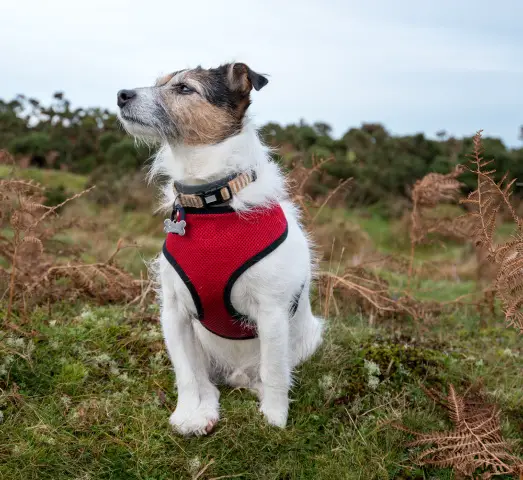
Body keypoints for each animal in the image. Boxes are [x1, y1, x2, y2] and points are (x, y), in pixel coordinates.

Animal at [117, 62, 324, 436]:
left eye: (185, 88)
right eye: (158, 83)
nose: (121, 95)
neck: (210, 203)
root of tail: (237, 376)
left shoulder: (272, 312)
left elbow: (275, 372)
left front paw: (274, 419)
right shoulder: (174, 313)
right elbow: (185, 374)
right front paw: (186, 413)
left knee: (270, 372)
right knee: (205, 381)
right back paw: (203, 414)